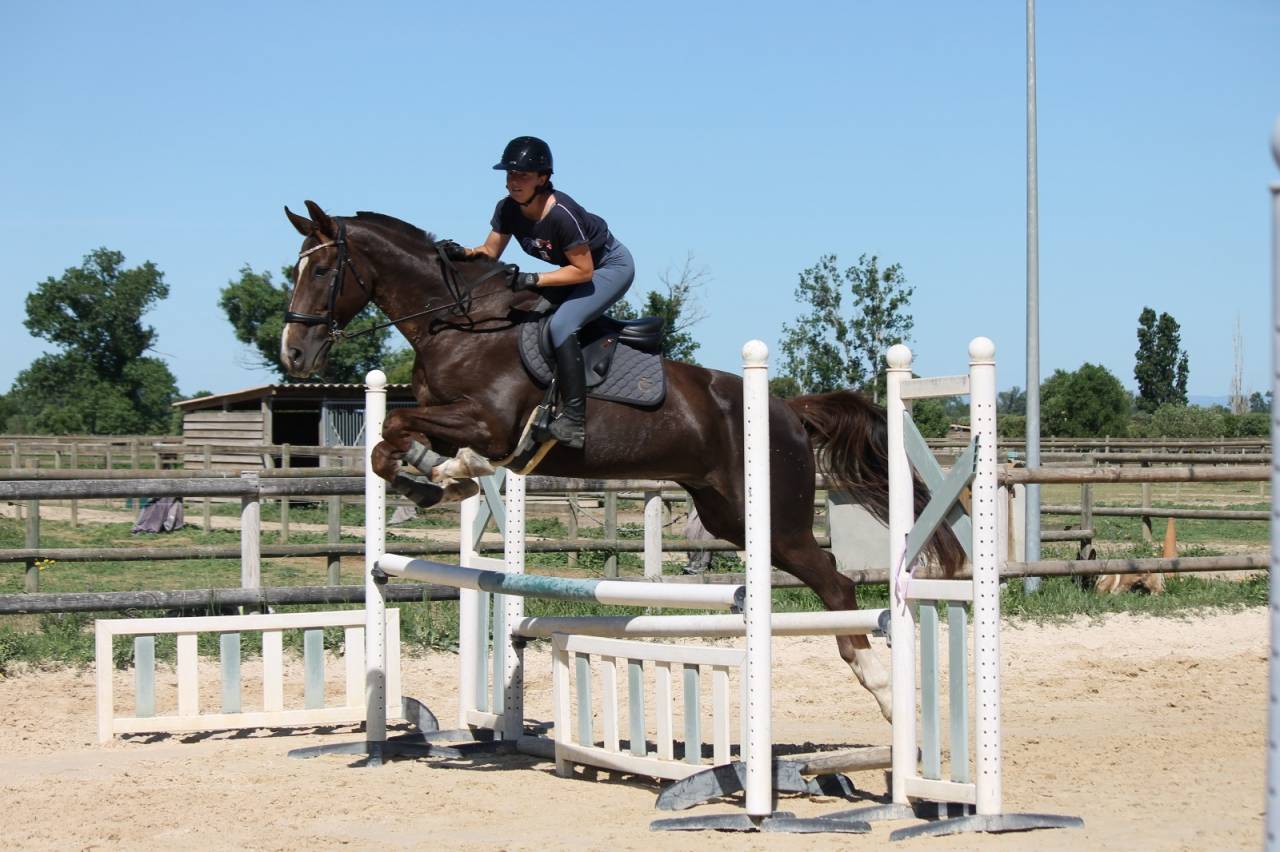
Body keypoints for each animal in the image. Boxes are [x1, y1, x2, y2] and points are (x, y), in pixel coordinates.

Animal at [281, 200, 963, 721]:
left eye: (324, 270)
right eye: (297, 269)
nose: (294, 354)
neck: (458, 323)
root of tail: (787, 408)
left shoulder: (490, 422)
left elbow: (402, 430)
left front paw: (445, 478)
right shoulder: (449, 419)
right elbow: (385, 445)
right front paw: (435, 483)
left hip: (775, 521)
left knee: (837, 582)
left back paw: (884, 691)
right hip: (730, 517)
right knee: (824, 577)